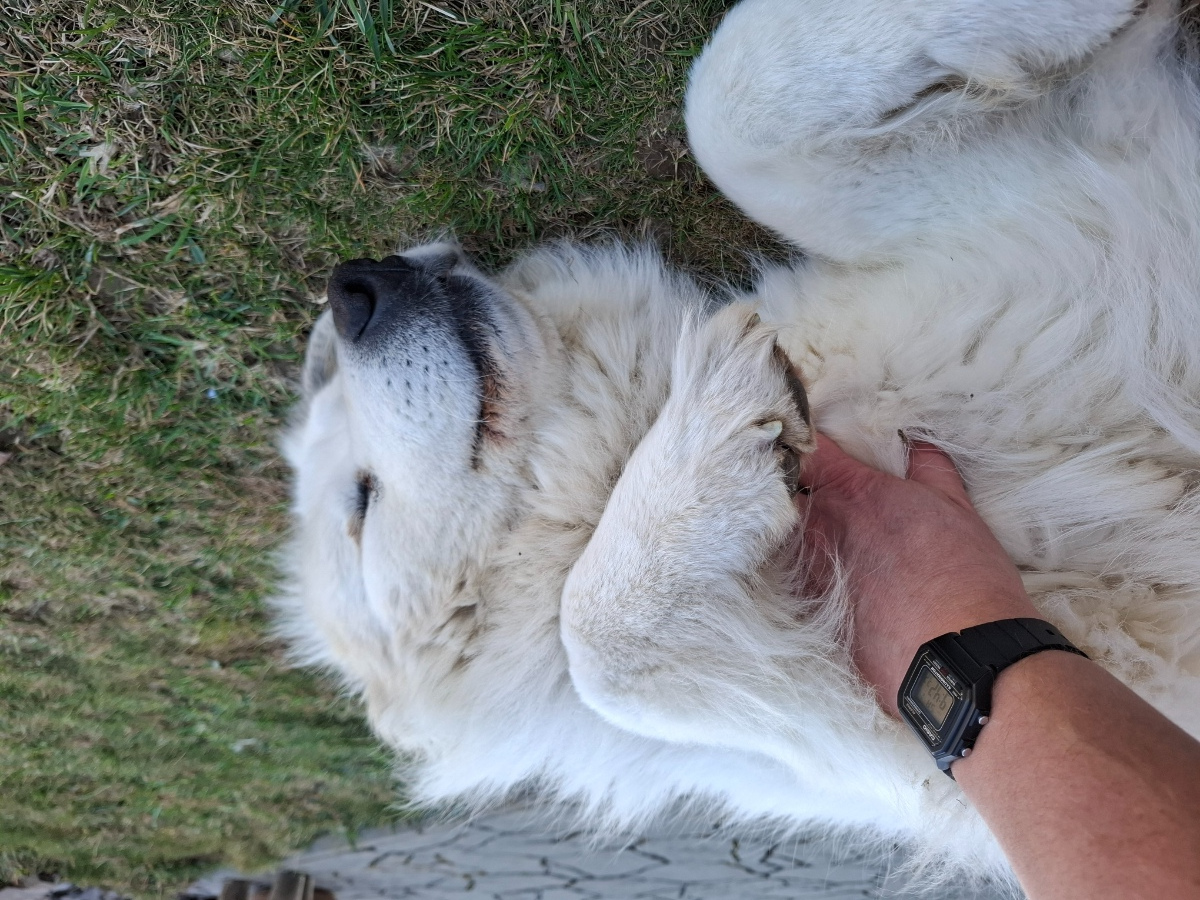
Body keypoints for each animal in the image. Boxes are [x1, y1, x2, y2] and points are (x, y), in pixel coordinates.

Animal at [278, 0, 1200, 885]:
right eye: (360, 504)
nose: (352, 287)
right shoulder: (899, 750)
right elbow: (592, 636)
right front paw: (707, 452)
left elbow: (728, 107)